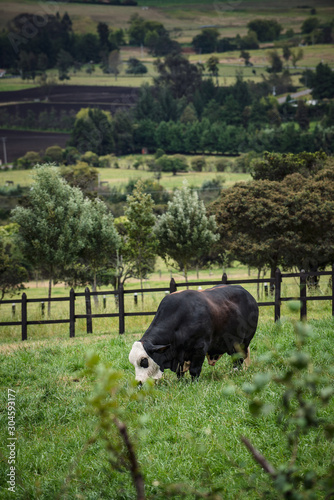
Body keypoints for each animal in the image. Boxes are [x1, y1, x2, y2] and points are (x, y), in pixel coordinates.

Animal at [129, 286, 260, 382]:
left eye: (144, 361)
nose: (138, 382)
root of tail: (247, 294)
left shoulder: (199, 349)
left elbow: (194, 370)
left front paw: (194, 383)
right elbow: (180, 372)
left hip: (243, 342)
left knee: (238, 359)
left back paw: (236, 372)